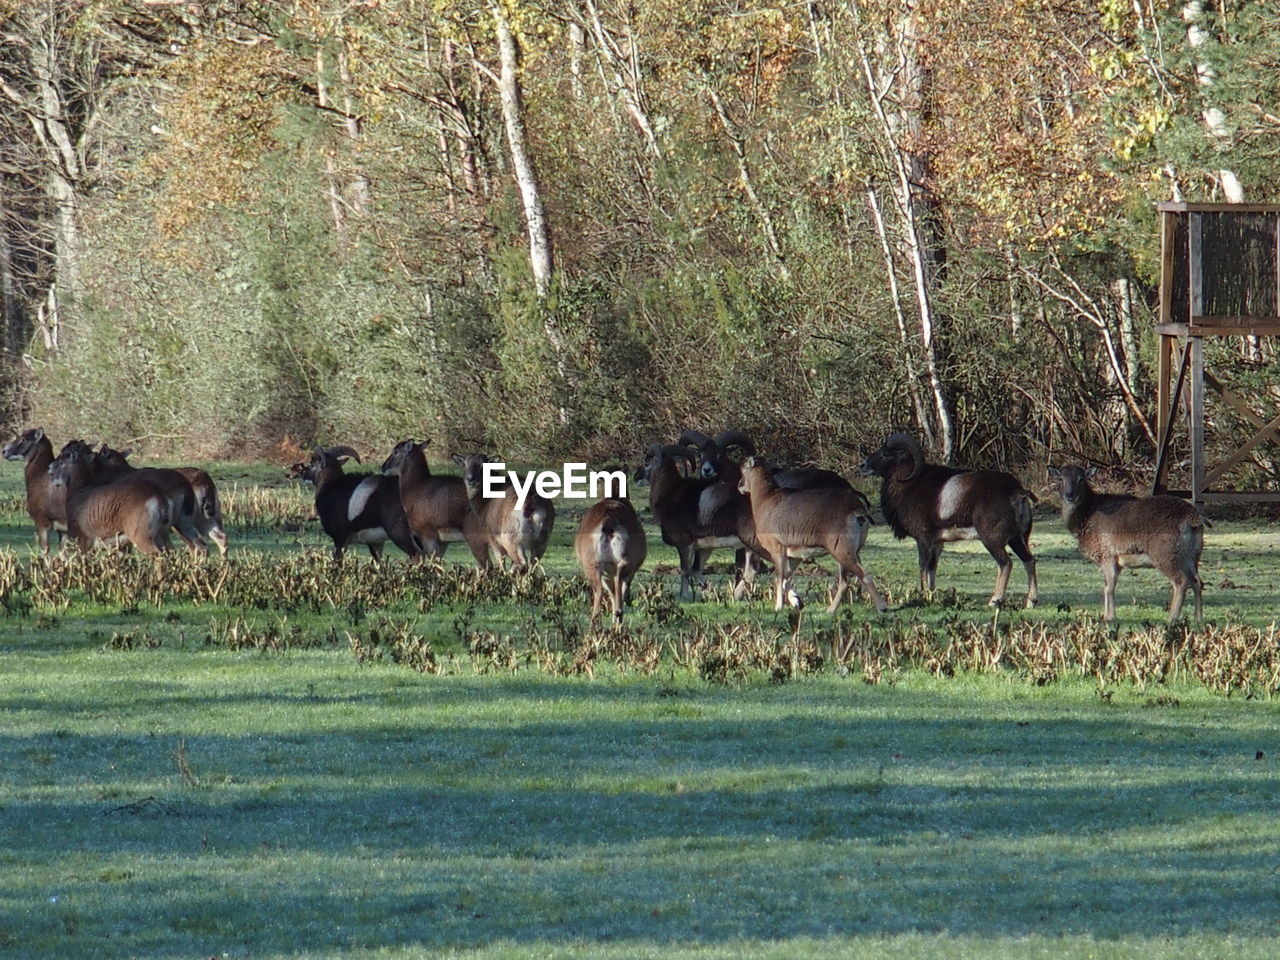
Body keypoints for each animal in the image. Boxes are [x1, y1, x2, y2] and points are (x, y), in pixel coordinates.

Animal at [860, 435, 1039, 609]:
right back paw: (1031, 602)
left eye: (885, 454)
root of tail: (1017, 492)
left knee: (1005, 564)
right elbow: (932, 567)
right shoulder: (937, 542)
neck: (909, 485)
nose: (863, 465)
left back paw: (995, 601)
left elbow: (923, 565)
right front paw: (931, 597)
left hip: (992, 541)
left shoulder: (923, 538)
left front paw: (923, 597)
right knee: (1029, 560)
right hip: (1017, 539)